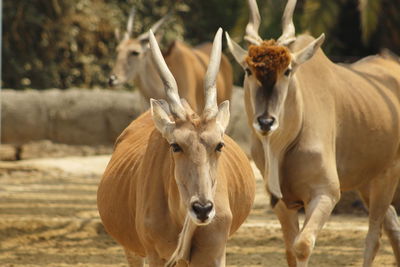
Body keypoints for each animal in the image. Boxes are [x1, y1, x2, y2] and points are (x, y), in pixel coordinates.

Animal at [97, 28, 255, 266]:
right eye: (175, 146)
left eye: (219, 145)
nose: (202, 208)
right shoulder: (155, 255)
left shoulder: (215, 254)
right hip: (132, 250)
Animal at [227, 0, 400, 266]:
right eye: (248, 70)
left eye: (287, 70)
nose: (266, 121)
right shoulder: (282, 203)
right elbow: (290, 249)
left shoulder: (325, 193)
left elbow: (302, 245)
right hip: (368, 181)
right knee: (392, 227)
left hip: (388, 174)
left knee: (374, 237)